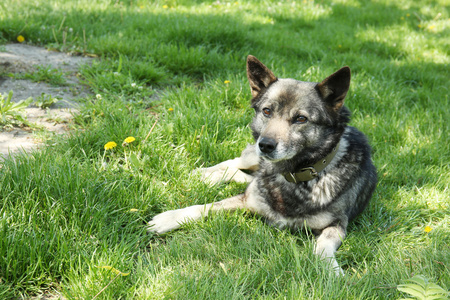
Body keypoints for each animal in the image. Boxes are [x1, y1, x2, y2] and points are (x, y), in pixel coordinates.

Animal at [149, 55, 378, 276]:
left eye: (301, 118)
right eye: (267, 111)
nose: (266, 145)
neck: (291, 176)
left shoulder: (337, 224)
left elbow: (322, 246)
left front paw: (330, 269)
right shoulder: (247, 199)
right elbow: (204, 207)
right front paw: (170, 218)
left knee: (242, 173)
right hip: (252, 158)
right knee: (235, 163)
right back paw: (204, 174)